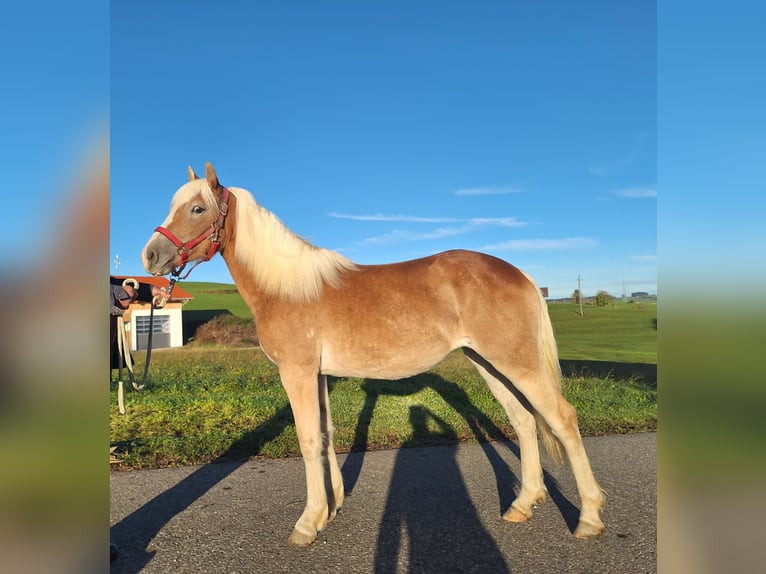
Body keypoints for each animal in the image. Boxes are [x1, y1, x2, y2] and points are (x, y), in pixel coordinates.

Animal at [142, 162, 608, 548]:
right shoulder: (318, 375)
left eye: (197, 208)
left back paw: (588, 517)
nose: (150, 256)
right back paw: (521, 505)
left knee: (561, 419)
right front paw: (330, 509)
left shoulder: (297, 372)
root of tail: (519, 273)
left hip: (516, 363)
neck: (288, 289)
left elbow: (307, 438)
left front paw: (307, 523)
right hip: (490, 364)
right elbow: (325, 435)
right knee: (525, 422)